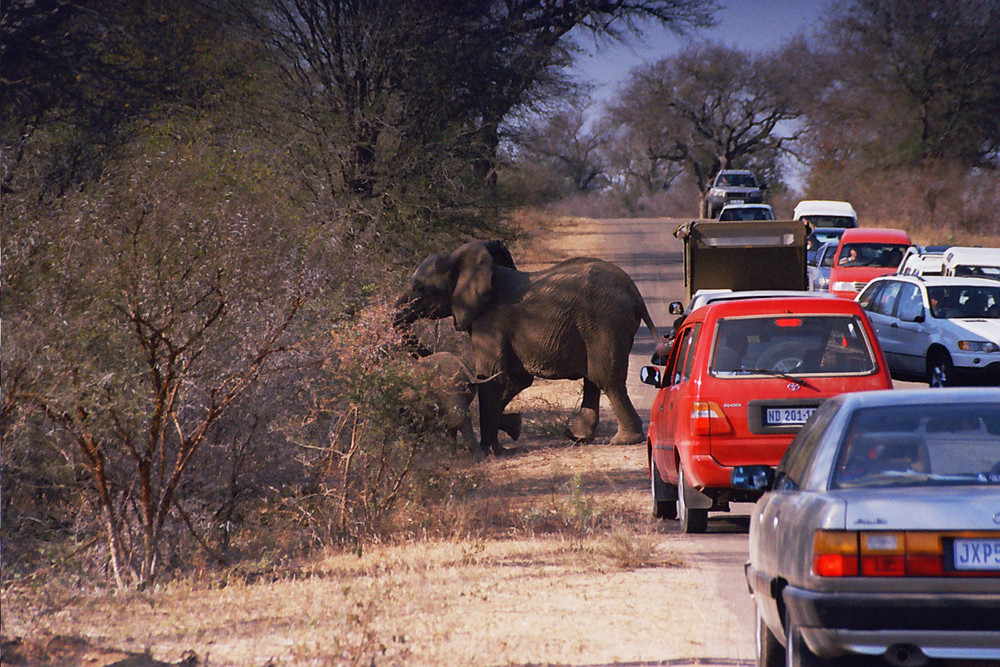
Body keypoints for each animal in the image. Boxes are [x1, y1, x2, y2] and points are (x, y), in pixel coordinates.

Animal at [390, 239, 656, 454]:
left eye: (422, 289)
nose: (428, 354)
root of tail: (635, 294)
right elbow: (515, 379)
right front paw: (511, 428)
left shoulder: (490, 320)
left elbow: (492, 377)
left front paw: (490, 449)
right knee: (593, 377)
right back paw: (577, 437)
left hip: (604, 322)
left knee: (606, 378)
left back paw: (623, 440)